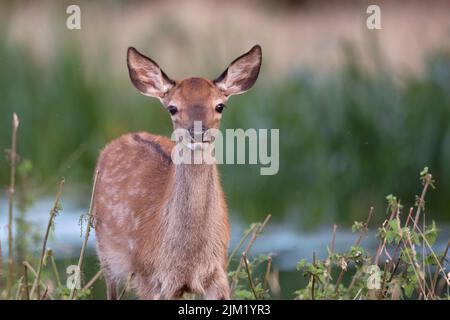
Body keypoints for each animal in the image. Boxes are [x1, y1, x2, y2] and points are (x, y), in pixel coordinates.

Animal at [93, 43, 262, 298]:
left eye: (220, 105)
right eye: (172, 108)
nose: (198, 132)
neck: (186, 260)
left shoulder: (217, 273)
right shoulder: (149, 277)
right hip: (106, 256)